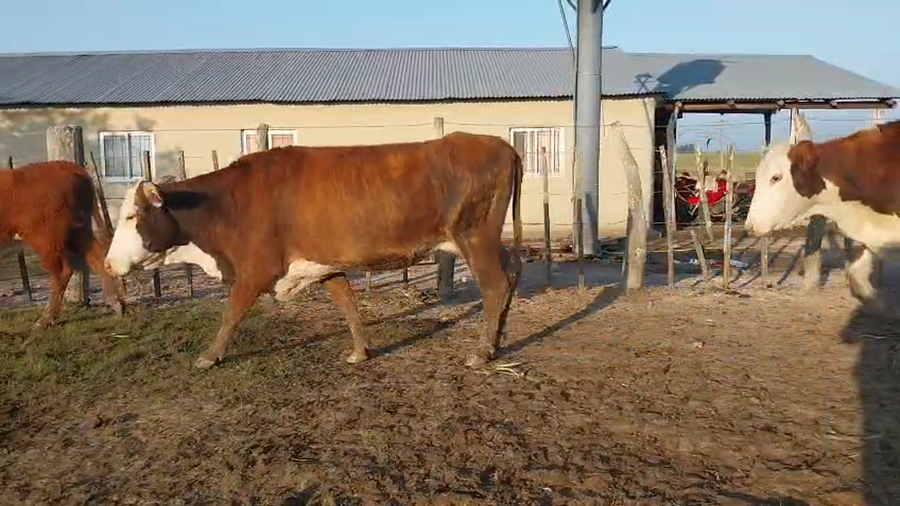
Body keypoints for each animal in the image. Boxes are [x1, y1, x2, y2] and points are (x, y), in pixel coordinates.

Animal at [0, 160, 126, 327]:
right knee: (97, 256)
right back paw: (115, 303)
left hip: (46, 239)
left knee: (62, 272)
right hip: (76, 233)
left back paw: (45, 319)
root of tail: (64, 165)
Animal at [103, 131, 524, 369]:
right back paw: (497, 342)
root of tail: (501, 145)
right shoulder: (324, 262)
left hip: (475, 237)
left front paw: (209, 356)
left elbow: (231, 314)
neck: (228, 203)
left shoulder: (254, 270)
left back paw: (483, 351)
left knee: (495, 287)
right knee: (511, 277)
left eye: (130, 216)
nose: (107, 264)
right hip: (488, 241)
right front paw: (360, 350)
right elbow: (348, 305)